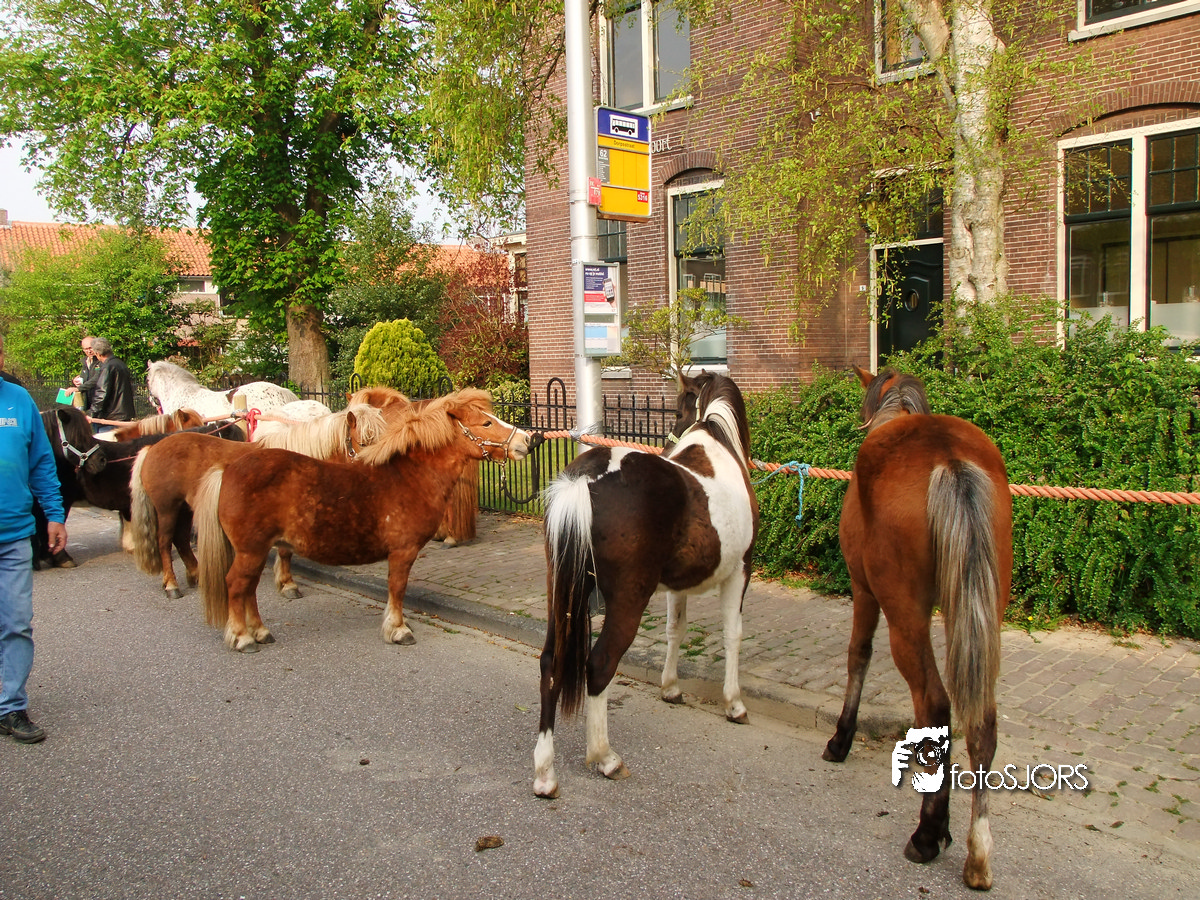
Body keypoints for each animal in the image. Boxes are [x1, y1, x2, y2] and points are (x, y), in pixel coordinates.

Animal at [129, 404, 387, 599]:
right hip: (167, 509)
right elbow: (284, 552)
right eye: (364, 442)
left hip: (184, 509)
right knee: (164, 542)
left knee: (181, 540)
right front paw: (288, 585)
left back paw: (196, 576)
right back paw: (172, 585)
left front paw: (285, 583)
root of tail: (152, 447)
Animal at [191, 389, 533, 652]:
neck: (410, 476)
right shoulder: (403, 551)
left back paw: (260, 632)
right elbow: (397, 587)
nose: (528, 440)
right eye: (486, 422)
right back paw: (243, 637)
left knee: (248, 588)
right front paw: (398, 630)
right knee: (237, 585)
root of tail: (228, 470)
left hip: (258, 551)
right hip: (251, 550)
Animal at [532, 371, 759, 799]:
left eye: (677, 410)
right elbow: (733, 635)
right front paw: (734, 704)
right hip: (627, 601)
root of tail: (583, 480)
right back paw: (605, 758)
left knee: (551, 662)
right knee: (599, 664)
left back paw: (545, 773)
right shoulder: (740, 571)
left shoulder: (676, 585)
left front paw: (670, 688)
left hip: (561, 593)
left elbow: (675, 630)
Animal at [821, 366, 1012, 891]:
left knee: (935, 703)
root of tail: (949, 459)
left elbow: (858, 655)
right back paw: (976, 852)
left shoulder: (864, 591)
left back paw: (929, 833)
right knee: (981, 720)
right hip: (982, 609)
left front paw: (841, 739)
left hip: (904, 615)